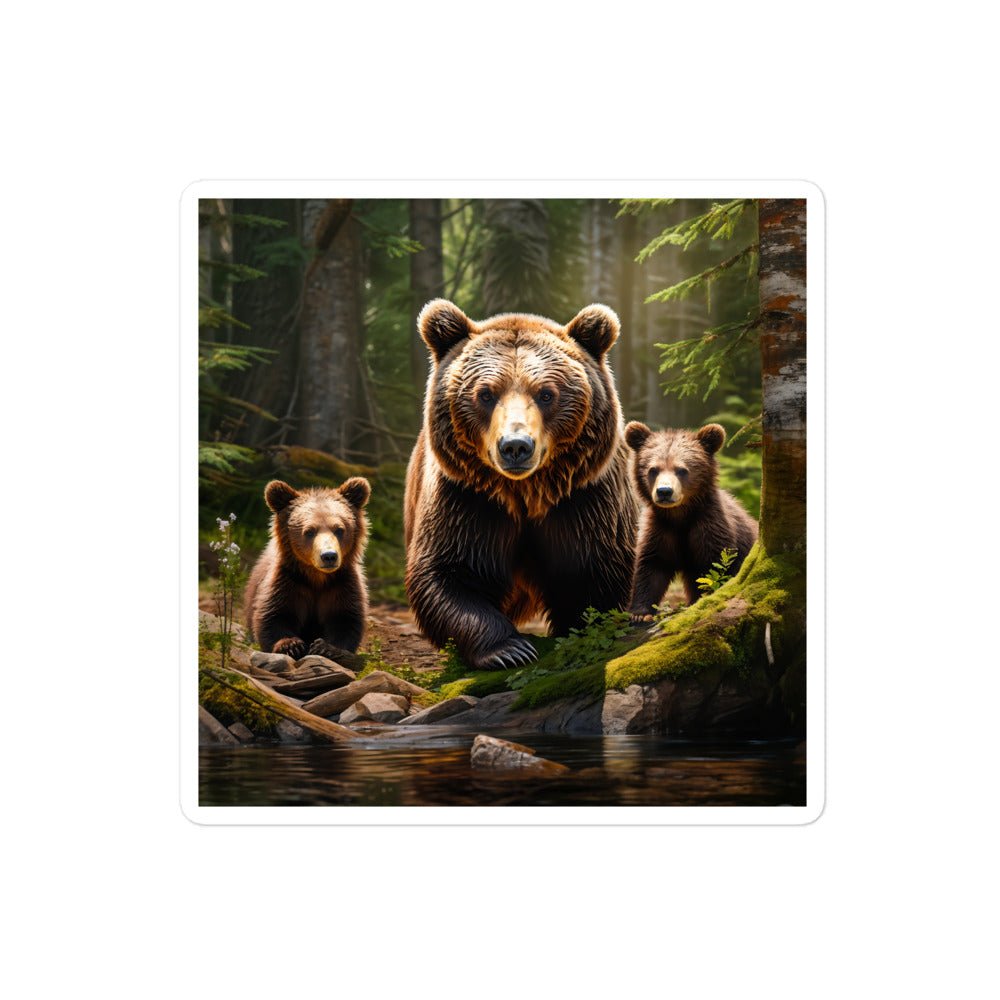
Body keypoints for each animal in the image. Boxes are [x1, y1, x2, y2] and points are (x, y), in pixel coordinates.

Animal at [244, 477, 371, 659]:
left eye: (339, 529)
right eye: (309, 531)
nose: (329, 556)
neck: (316, 577)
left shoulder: (341, 584)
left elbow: (346, 618)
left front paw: (326, 647)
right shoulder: (288, 581)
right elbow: (274, 615)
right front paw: (291, 645)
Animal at [404, 298, 638, 671]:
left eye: (546, 394)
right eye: (485, 394)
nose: (515, 446)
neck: (526, 492)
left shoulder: (584, 498)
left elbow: (594, 573)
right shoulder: (467, 498)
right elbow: (448, 572)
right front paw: (510, 649)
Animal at [623, 421, 758, 621]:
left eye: (682, 470)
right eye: (653, 469)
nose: (664, 491)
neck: (680, 515)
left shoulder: (709, 527)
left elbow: (713, 570)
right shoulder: (660, 529)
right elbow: (652, 567)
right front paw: (640, 613)